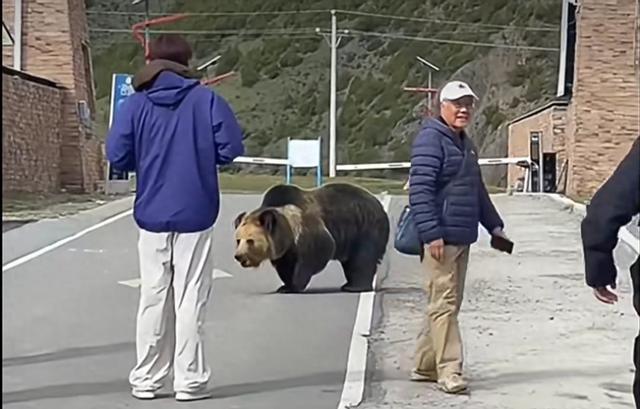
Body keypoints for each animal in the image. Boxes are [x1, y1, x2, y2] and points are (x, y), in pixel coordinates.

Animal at [232, 182, 390, 294]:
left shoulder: (306, 228)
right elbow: (286, 264)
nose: (239, 256)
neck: (287, 229)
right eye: (238, 240)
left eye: (250, 240)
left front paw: (295, 284)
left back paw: (354, 287)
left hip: (365, 228)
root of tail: (379, 205)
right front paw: (285, 286)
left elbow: (320, 250)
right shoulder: (286, 247)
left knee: (362, 258)